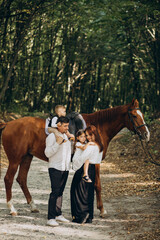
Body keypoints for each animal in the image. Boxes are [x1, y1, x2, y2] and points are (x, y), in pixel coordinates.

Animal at [0, 98, 150, 217]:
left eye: (142, 115)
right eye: (134, 116)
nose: (146, 134)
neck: (98, 128)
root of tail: (8, 124)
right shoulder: (95, 161)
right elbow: (97, 185)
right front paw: (101, 210)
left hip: (27, 157)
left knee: (21, 179)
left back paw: (33, 206)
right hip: (15, 159)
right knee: (8, 179)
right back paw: (12, 208)